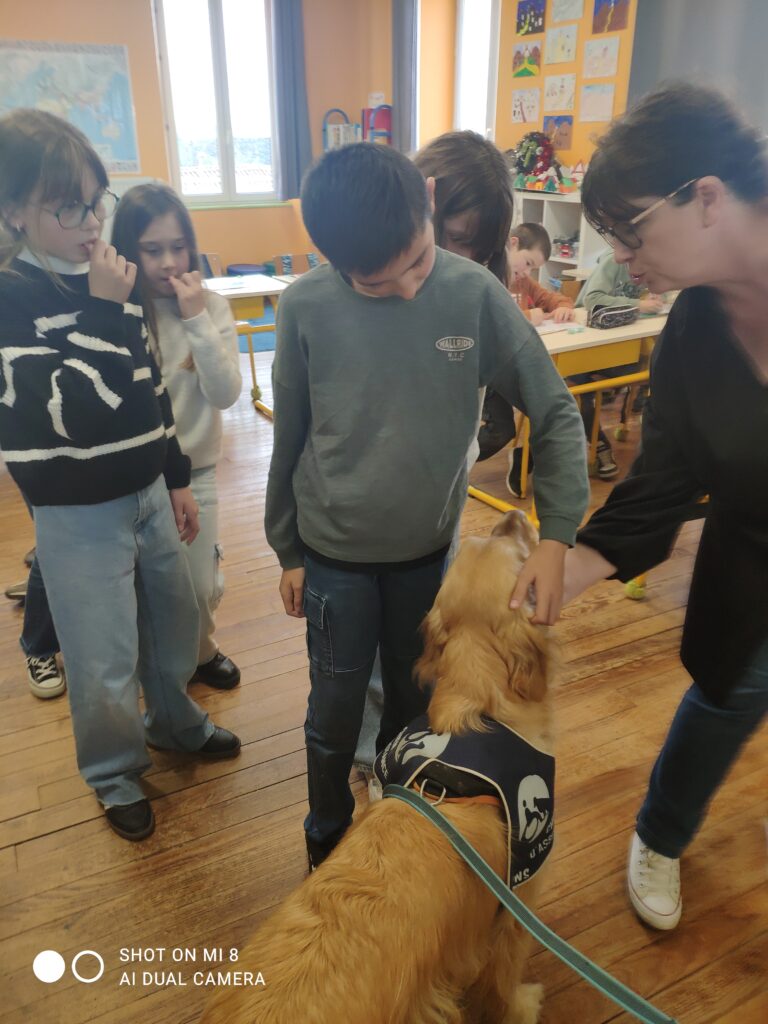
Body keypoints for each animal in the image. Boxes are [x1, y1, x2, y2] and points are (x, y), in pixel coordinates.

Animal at [201, 511, 554, 1024]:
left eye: (482, 540)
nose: (511, 515)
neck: (473, 709)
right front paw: (524, 1004)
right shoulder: (518, 899)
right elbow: (504, 983)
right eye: (516, 554)